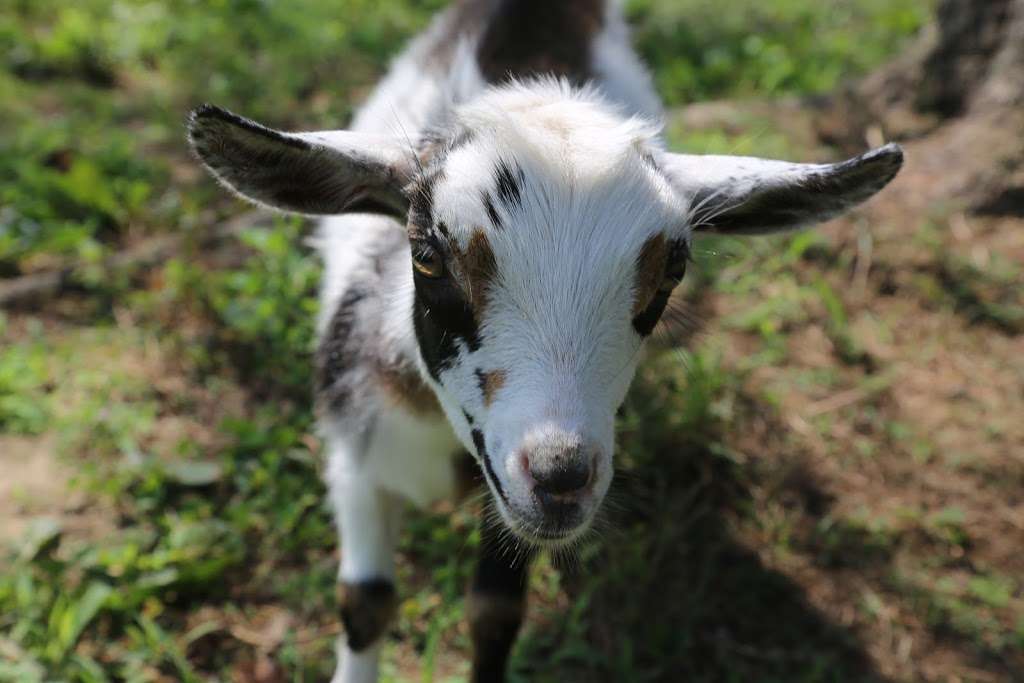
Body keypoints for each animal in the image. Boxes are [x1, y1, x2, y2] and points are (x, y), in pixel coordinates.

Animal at [188, 1, 901, 683]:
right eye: (427, 255)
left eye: (672, 273)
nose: (562, 480)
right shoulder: (355, 458)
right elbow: (365, 602)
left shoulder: (502, 494)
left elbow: (494, 612)